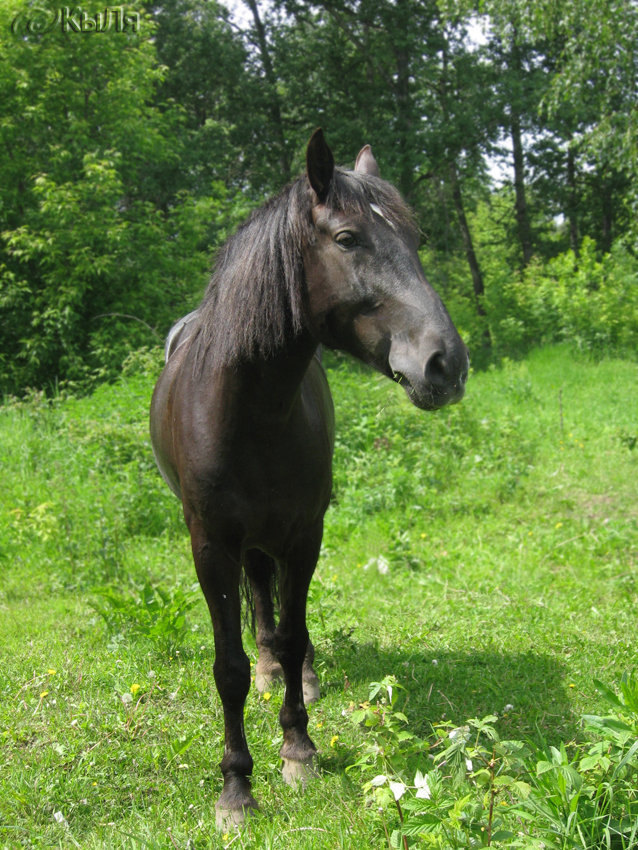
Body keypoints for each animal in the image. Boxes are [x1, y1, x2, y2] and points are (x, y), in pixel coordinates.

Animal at [150, 129, 470, 824]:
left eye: (417, 238)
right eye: (347, 238)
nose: (446, 364)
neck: (251, 411)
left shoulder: (304, 534)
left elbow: (296, 635)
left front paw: (297, 746)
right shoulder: (210, 545)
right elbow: (229, 666)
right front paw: (236, 785)